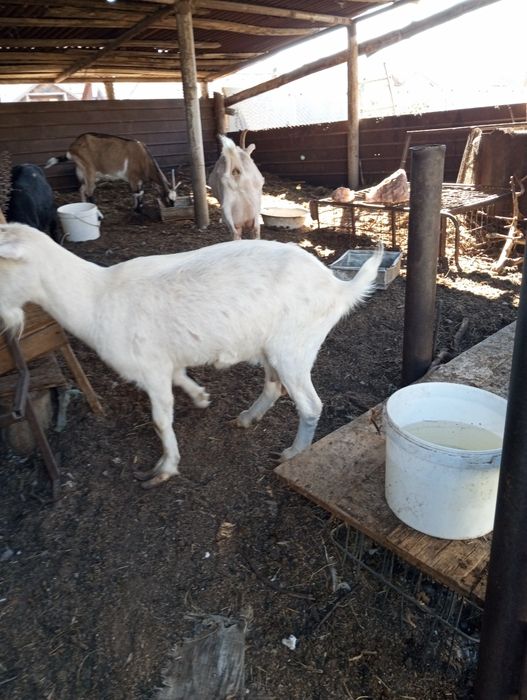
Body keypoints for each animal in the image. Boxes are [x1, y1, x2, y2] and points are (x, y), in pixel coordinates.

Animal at [0, 223, 382, 489]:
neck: (96, 297)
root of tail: (338, 287)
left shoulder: (150, 367)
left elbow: (160, 420)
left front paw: (164, 469)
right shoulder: (164, 359)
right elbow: (180, 376)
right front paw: (200, 397)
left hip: (294, 345)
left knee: (310, 404)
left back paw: (293, 453)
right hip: (271, 347)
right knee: (274, 387)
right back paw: (246, 418)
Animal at [45, 132, 178, 213]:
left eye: (174, 199)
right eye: (168, 199)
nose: (172, 207)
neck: (143, 158)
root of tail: (72, 148)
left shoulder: (138, 180)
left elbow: (139, 192)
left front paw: (137, 208)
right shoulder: (133, 178)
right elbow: (137, 193)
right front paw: (138, 210)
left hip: (85, 172)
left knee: (82, 189)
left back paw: (83, 206)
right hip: (89, 170)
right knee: (89, 192)